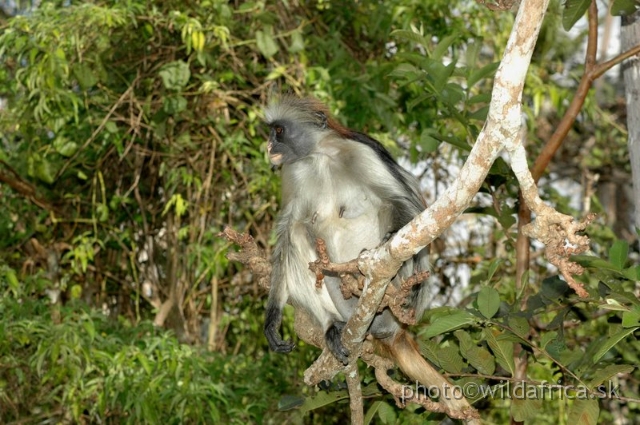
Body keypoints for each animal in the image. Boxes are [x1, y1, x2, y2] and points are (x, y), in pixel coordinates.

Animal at [262, 97, 432, 380]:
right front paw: (273, 315)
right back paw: (332, 326)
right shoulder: (294, 171)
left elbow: (401, 201)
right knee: (297, 230)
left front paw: (392, 238)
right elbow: (287, 230)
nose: (268, 145)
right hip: (344, 304)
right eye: (271, 132)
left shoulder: (360, 152)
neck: (318, 156)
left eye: (279, 131)